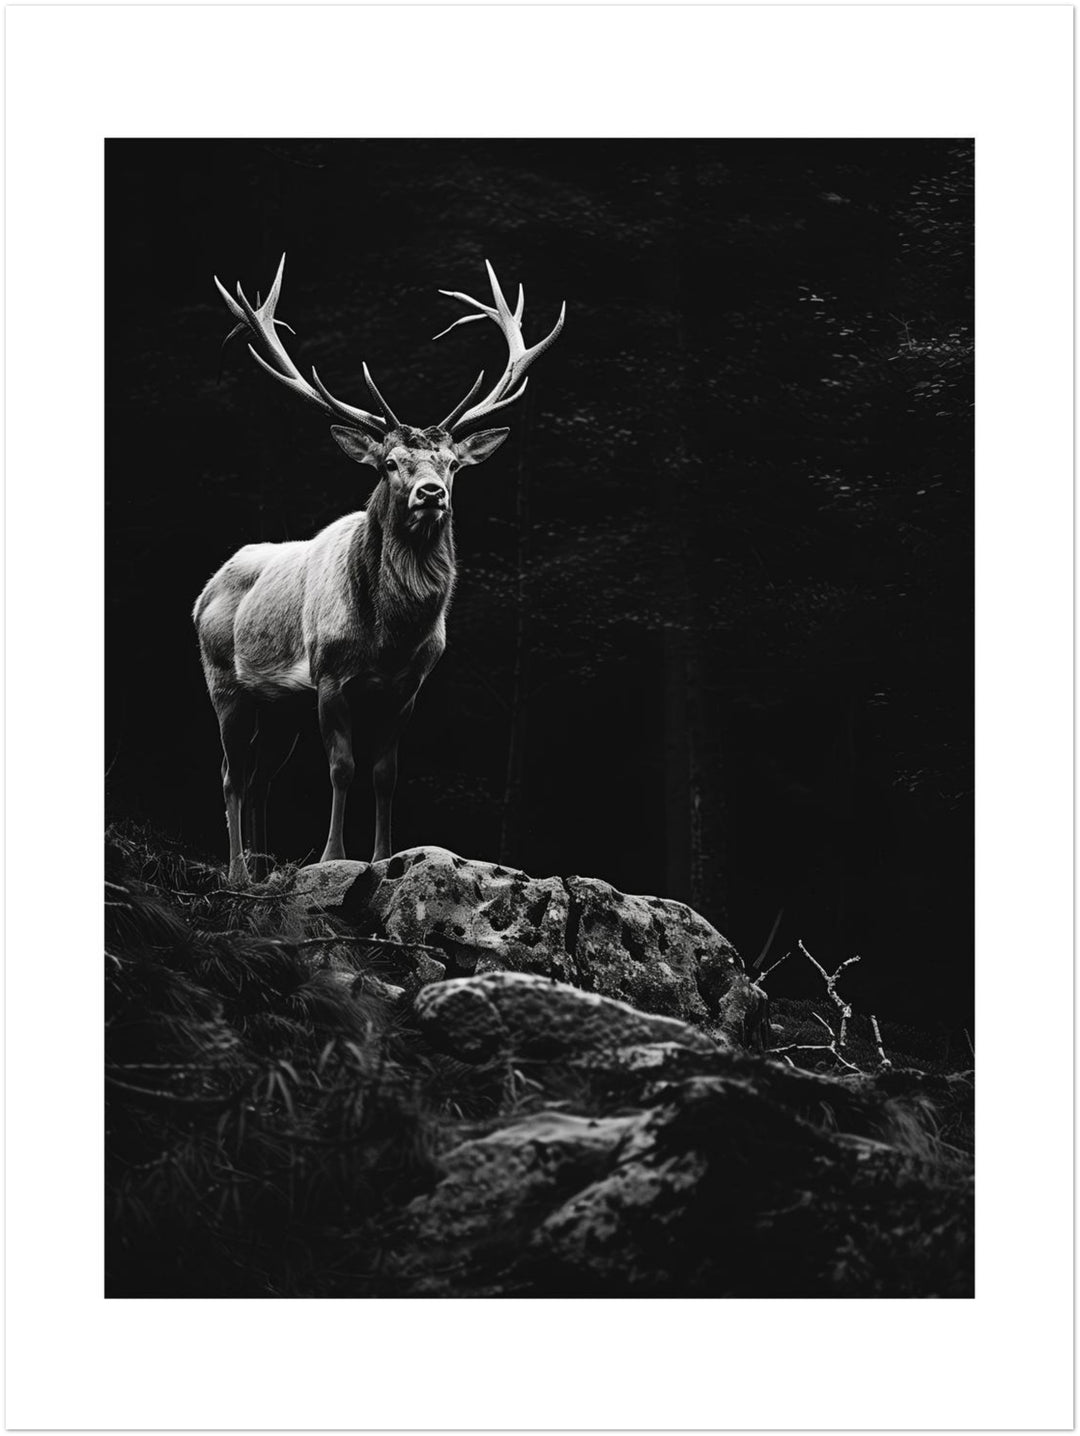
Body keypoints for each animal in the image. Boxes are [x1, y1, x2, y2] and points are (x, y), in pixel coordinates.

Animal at [193, 254, 564, 884]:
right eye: (390, 462)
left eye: (451, 463)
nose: (431, 493)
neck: (389, 637)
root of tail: (203, 591)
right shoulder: (328, 676)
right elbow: (342, 767)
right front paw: (331, 858)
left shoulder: (407, 688)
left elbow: (386, 774)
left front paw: (384, 857)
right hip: (224, 680)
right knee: (231, 775)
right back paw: (239, 873)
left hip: (280, 706)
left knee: (261, 778)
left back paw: (264, 871)